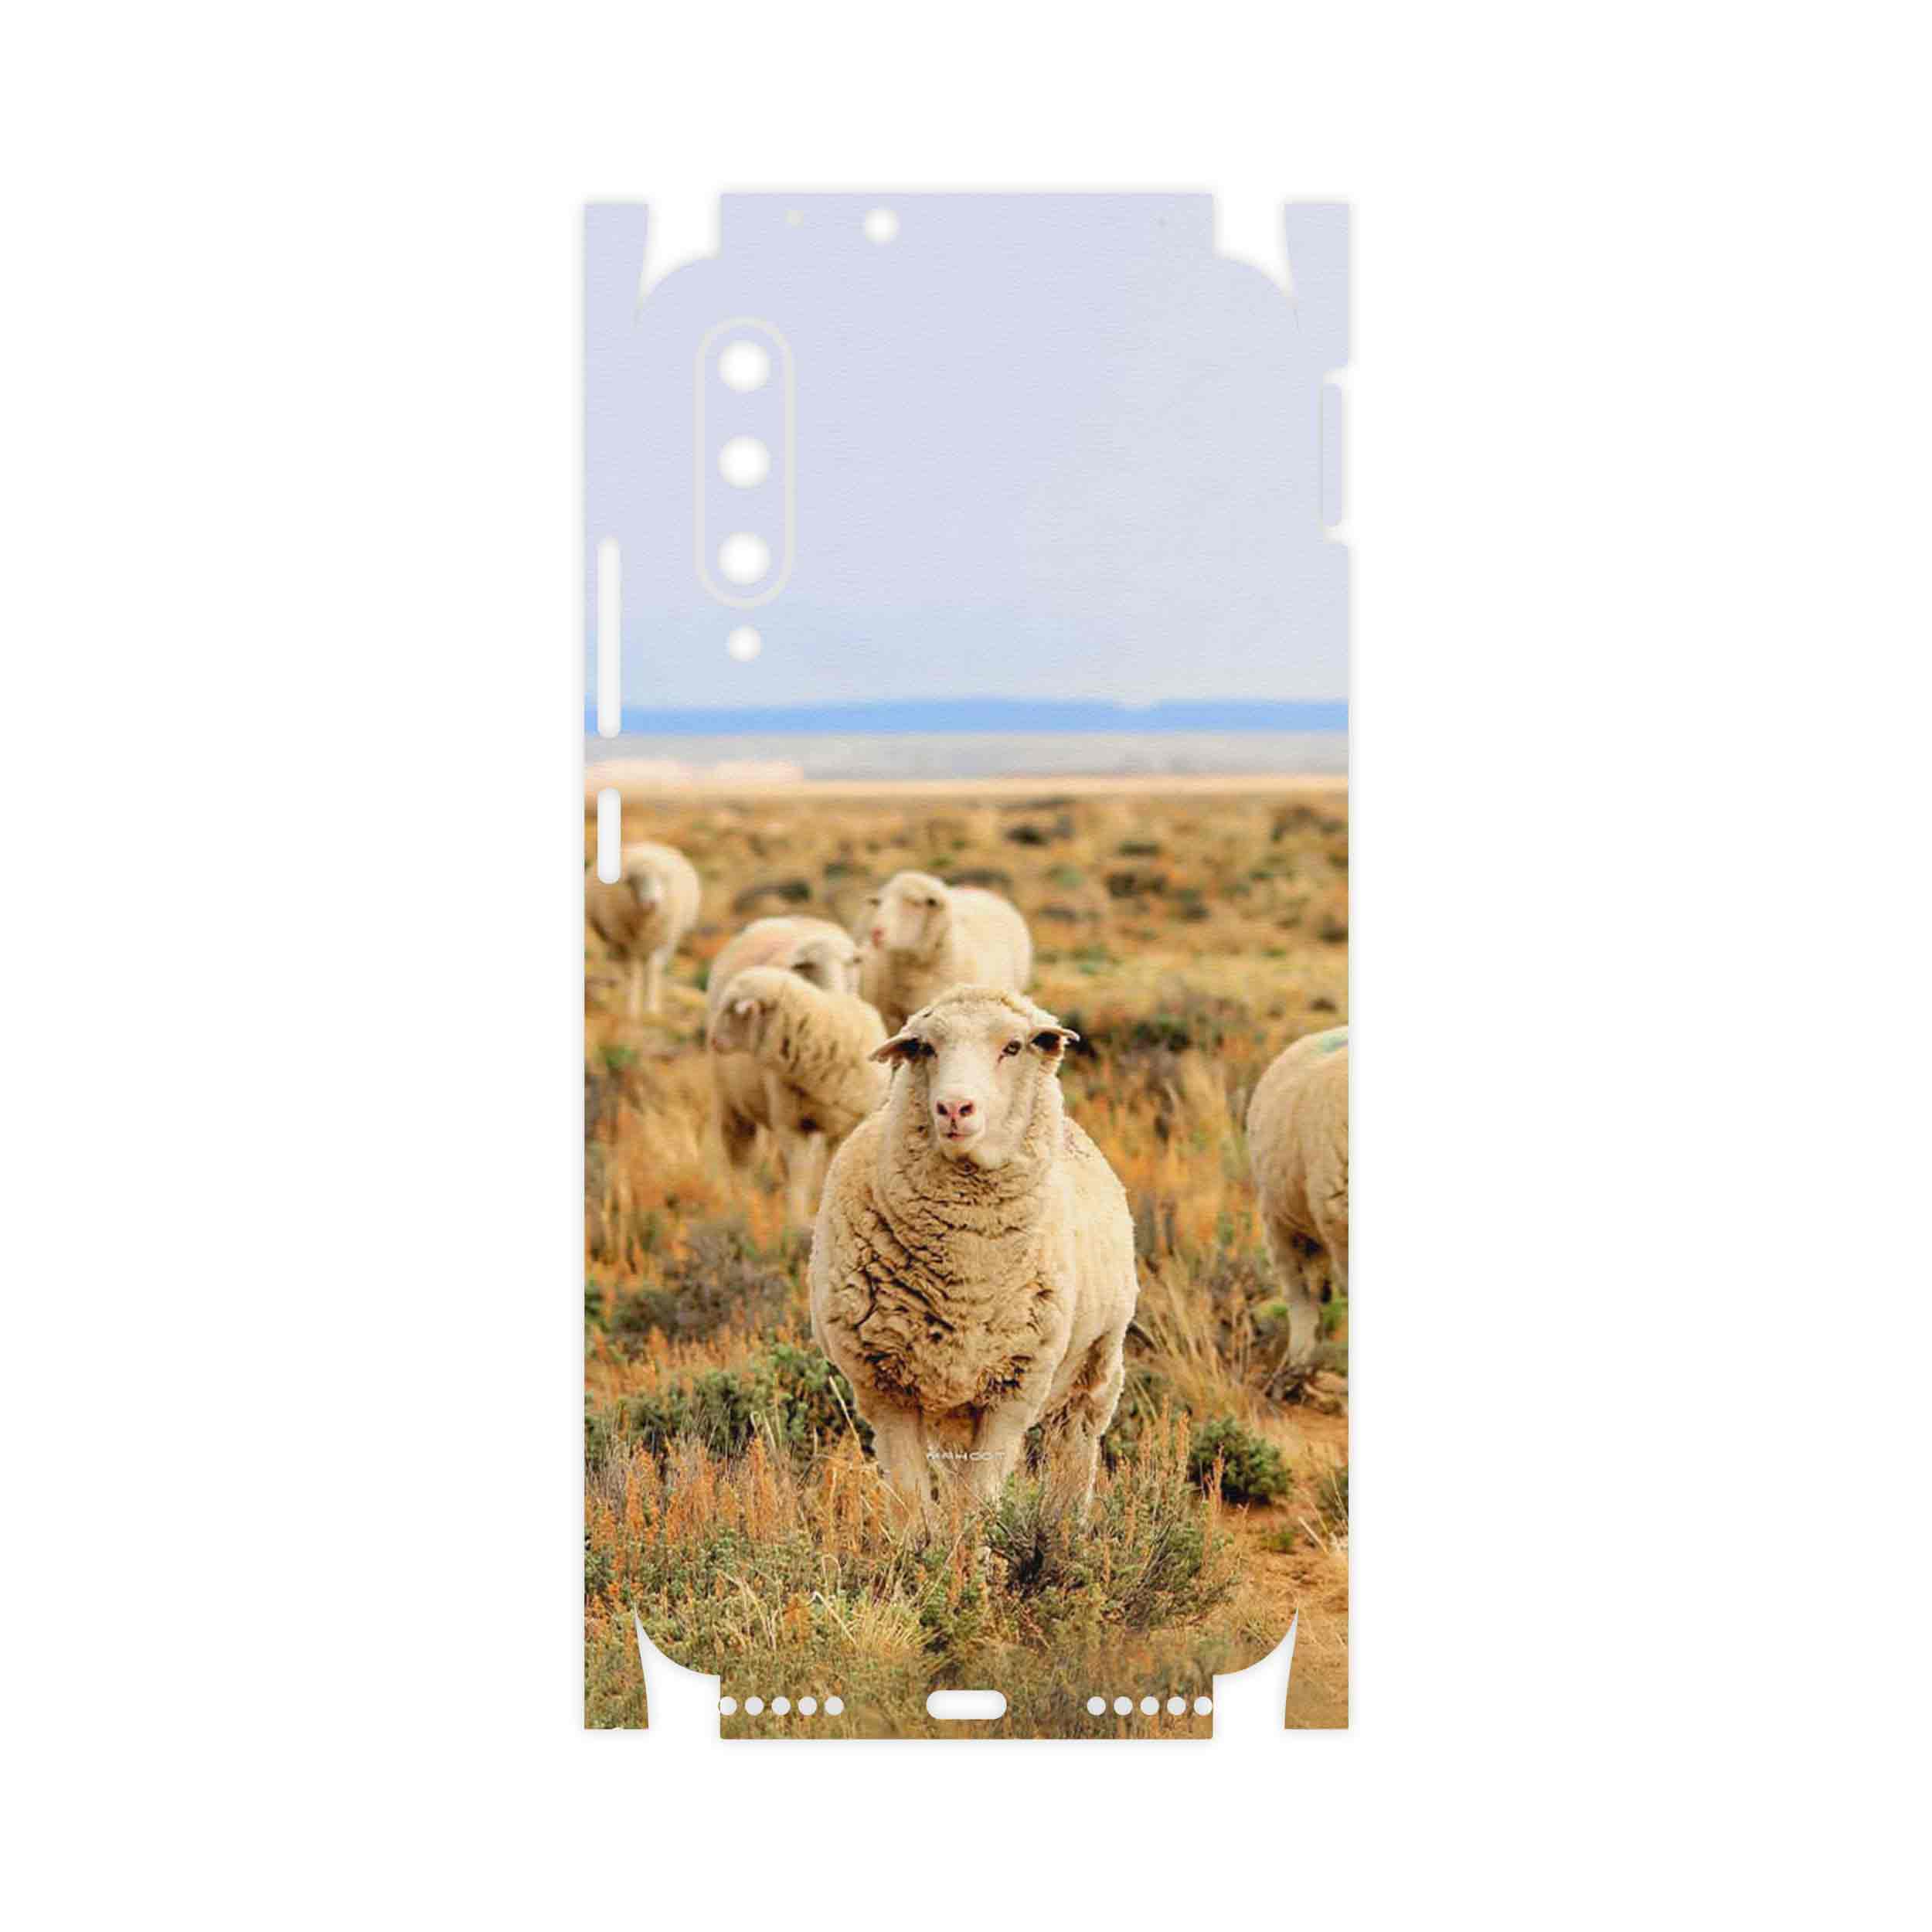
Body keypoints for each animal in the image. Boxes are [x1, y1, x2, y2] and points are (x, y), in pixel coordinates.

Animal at [584, 841, 700, 1018]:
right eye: (637, 881)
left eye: (661, 879)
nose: (652, 903)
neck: (646, 923)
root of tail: (647, 845)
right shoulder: (625, 942)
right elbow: (634, 972)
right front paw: (632, 1009)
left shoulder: (662, 941)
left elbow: (653, 970)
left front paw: (651, 1010)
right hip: (614, 940)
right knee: (619, 966)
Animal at [707, 966, 889, 1226]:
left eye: (733, 1010)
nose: (713, 1040)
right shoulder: (792, 1124)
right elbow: (799, 1173)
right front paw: (797, 1220)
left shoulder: (849, 1123)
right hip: (733, 1108)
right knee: (741, 1158)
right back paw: (741, 1206)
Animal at [809, 985, 1137, 1525]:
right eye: (925, 1047)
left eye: (1013, 1047)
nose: (954, 1108)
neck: (966, 1275)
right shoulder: (885, 1389)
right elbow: (913, 1503)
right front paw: (923, 1548)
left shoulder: (1013, 1390)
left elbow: (979, 1502)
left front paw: (976, 1550)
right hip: (952, 1407)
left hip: (1095, 1366)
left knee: (1074, 1447)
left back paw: (1066, 1527)